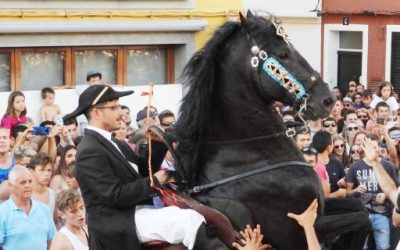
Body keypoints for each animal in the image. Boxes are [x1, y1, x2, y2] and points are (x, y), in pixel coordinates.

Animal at [175, 10, 372, 249]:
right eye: (284, 54)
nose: (327, 99)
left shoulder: (321, 208)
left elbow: (360, 210)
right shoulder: (296, 232)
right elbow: (361, 219)